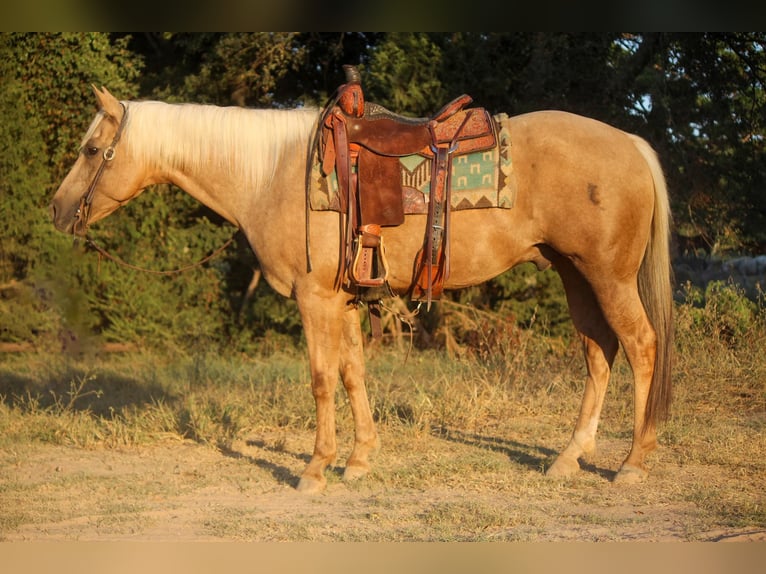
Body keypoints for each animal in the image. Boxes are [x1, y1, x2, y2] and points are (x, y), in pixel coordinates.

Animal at [52, 85, 672, 496]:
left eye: (90, 150)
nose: (57, 211)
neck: (272, 175)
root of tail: (631, 143)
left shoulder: (314, 300)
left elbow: (322, 380)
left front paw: (314, 469)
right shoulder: (344, 299)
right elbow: (353, 373)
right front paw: (358, 460)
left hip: (608, 277)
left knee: (642, 347)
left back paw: (634, 462)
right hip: (575, 275)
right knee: (599, 353)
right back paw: (569, 457)